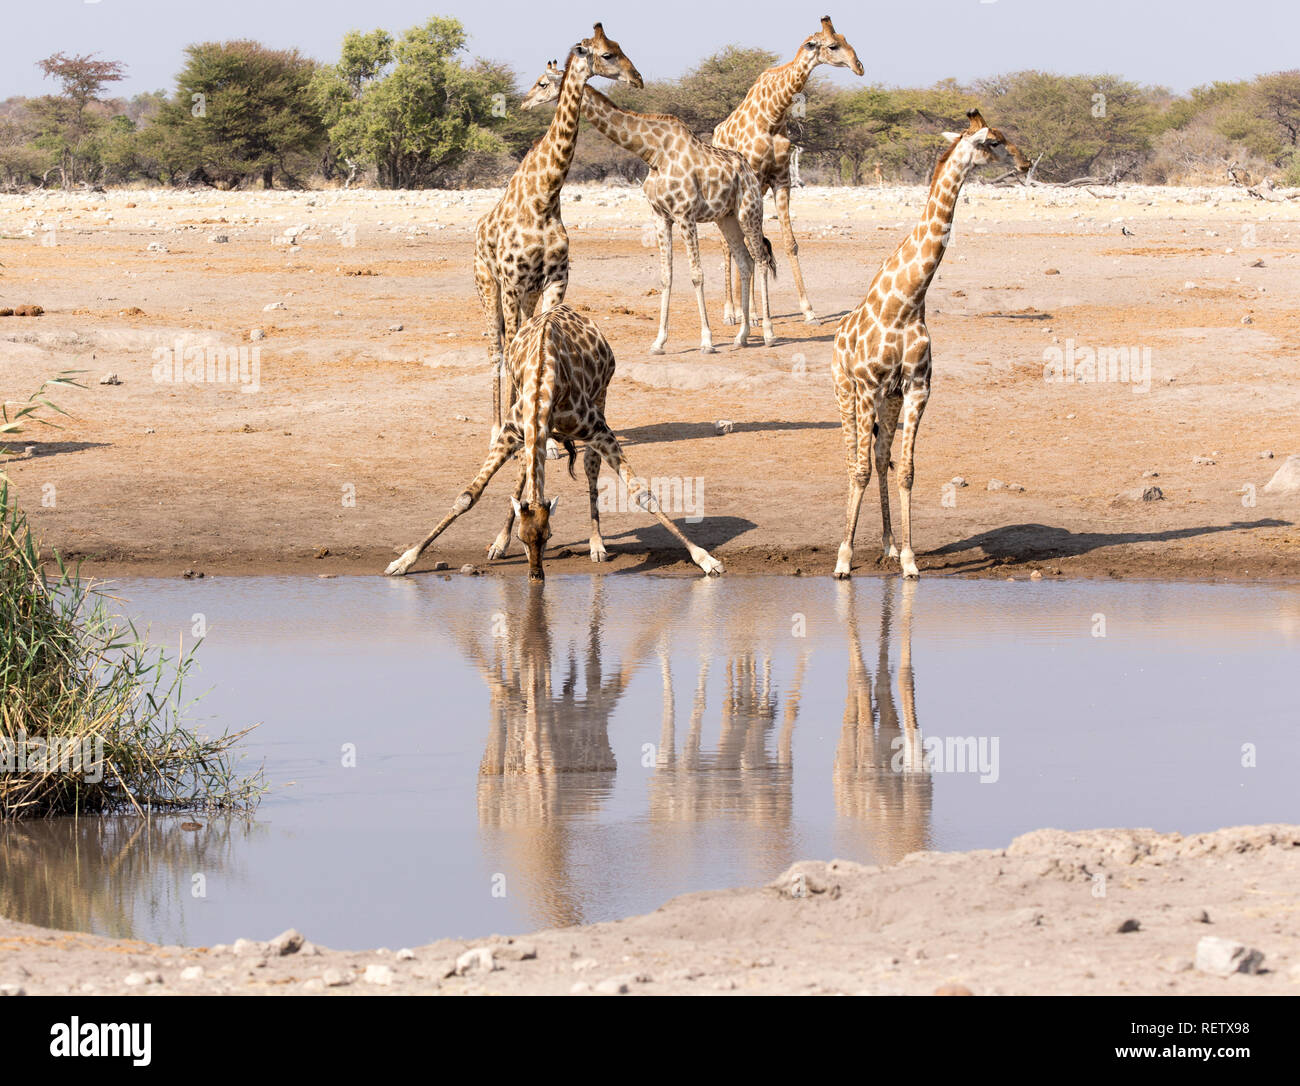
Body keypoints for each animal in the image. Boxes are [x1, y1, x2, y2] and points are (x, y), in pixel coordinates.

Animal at [384, 303, 725, 580]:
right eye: (523, 539)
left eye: (549, 536)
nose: (536, 576)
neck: (543, 383)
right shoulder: (512, 431)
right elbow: (468, 496)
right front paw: (404, 561)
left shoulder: (599, 430)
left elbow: (642, 494)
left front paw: (705, 559)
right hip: (529, 435)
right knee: (524, 470)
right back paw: (497, 544)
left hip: (602, 396)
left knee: (590, 465)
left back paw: (597, 545)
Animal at [475, 24, 642, 443]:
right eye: (607, 54)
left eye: (618, 47)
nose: (638, 78)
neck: (545, 197)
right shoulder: (512, 282)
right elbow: (513, 344)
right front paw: (516, 425)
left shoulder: (554, 280)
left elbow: (540, 336)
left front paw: (547, 439)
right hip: (489, 285)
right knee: (497, 346)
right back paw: (495, 425)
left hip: (527, 293)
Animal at [521, 61, 774, 355]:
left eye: (542, 83)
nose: (524, 102)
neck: (653, 152)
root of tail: (749, 171)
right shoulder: (661, 216)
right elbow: (666, 276)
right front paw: (659, 342)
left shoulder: (685, 214)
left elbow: (696, 275)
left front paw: (707, 341)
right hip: (727, 218)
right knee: (745, 262)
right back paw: (742, 336)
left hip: (749, 211)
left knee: (761, 260)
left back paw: (768, 334)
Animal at [712, 16, 863, 326]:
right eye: (833, 45)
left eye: (845, 39)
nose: (859, 66)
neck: (773, 114)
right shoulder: (755, 179)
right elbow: (753, 245)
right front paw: (754, 315)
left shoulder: (781, 181)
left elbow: (789, 243)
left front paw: (809, 311)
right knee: (726, 245)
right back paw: (732, 312)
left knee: (738, 243)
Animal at [831, 109, 1030, 580]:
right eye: (993, 141)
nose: (1026, 163)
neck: (905, 303)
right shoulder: (867, 387)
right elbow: (860, 469)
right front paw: (844, 559)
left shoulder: (917, 387)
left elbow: (905, 470)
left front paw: (908, 558)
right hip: (845, 391)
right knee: (854, 459)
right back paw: (849, 549)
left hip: (887, 399)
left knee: (881, 454)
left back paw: (887, 543)